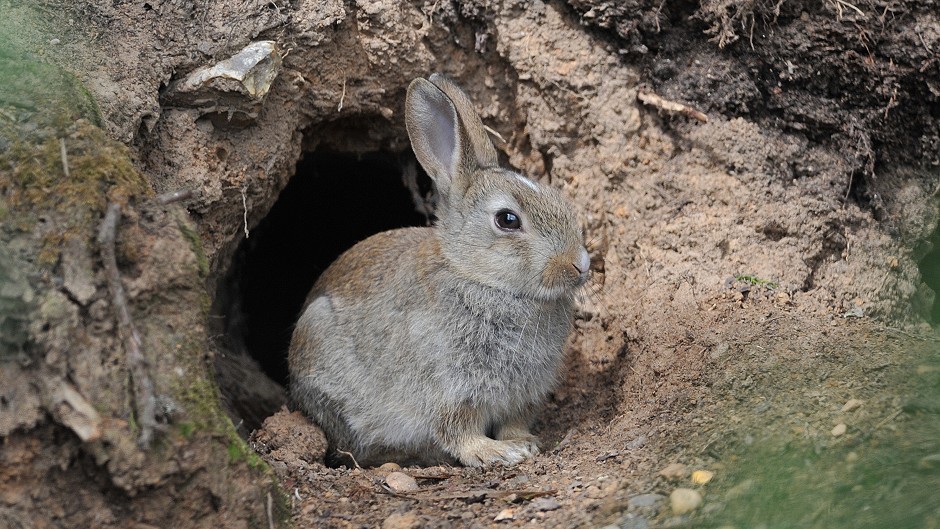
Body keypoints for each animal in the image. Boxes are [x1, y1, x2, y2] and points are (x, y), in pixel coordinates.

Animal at [290, 73, 592, 466]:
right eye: (507, 220)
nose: (581, 263)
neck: (477, 277)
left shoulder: (523, 394)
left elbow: (514, 421)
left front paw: (522, 442)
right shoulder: (452, 388)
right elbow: (458, 430)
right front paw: (496, 452)